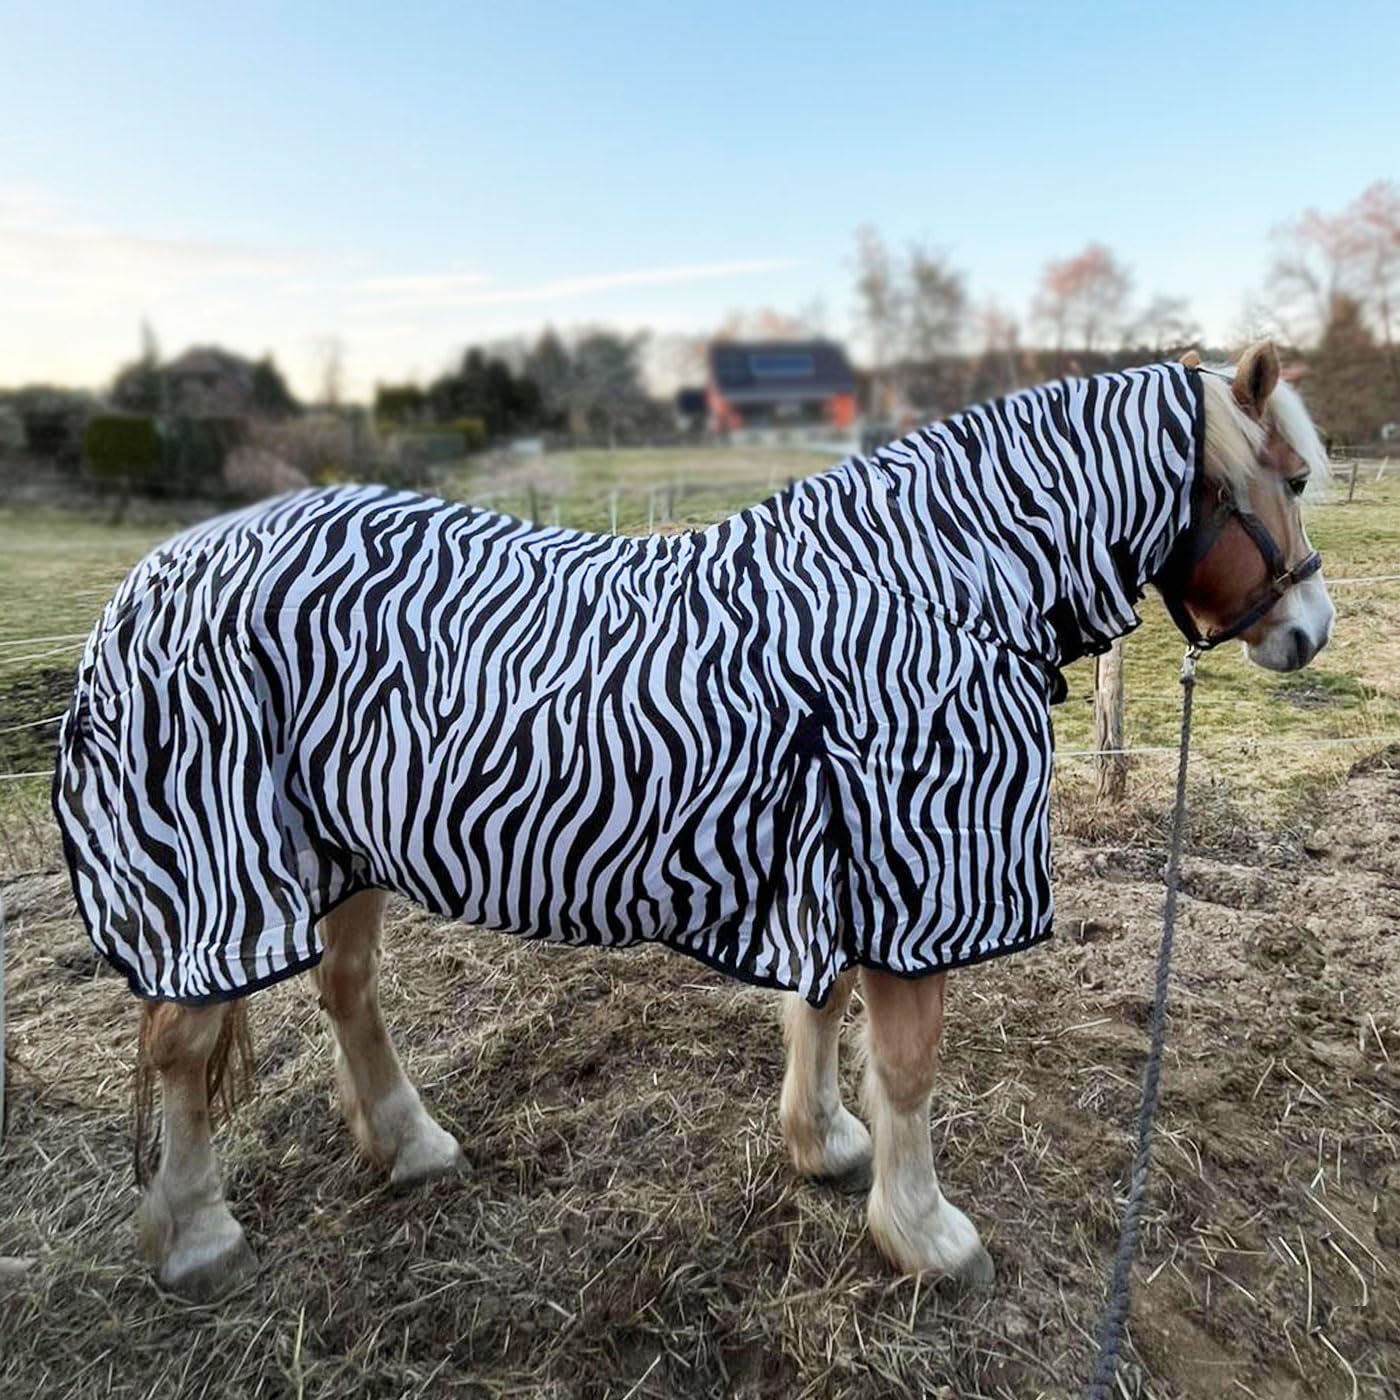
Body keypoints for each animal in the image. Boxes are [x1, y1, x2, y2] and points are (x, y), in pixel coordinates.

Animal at [51, 341, 1334, 1300]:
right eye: (1291, 474)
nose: (1307, 629)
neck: (929, 591)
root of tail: (147, 580)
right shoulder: (908, 868)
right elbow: (907, 1063)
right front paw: (923, 1232)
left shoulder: (832, 856)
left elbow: (818, 1004)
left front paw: (822, 1145)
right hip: (216, 874)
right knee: (179, 1045)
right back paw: (195, 1233)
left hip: (344, 852)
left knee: (344, 987)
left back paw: (408, 1144)